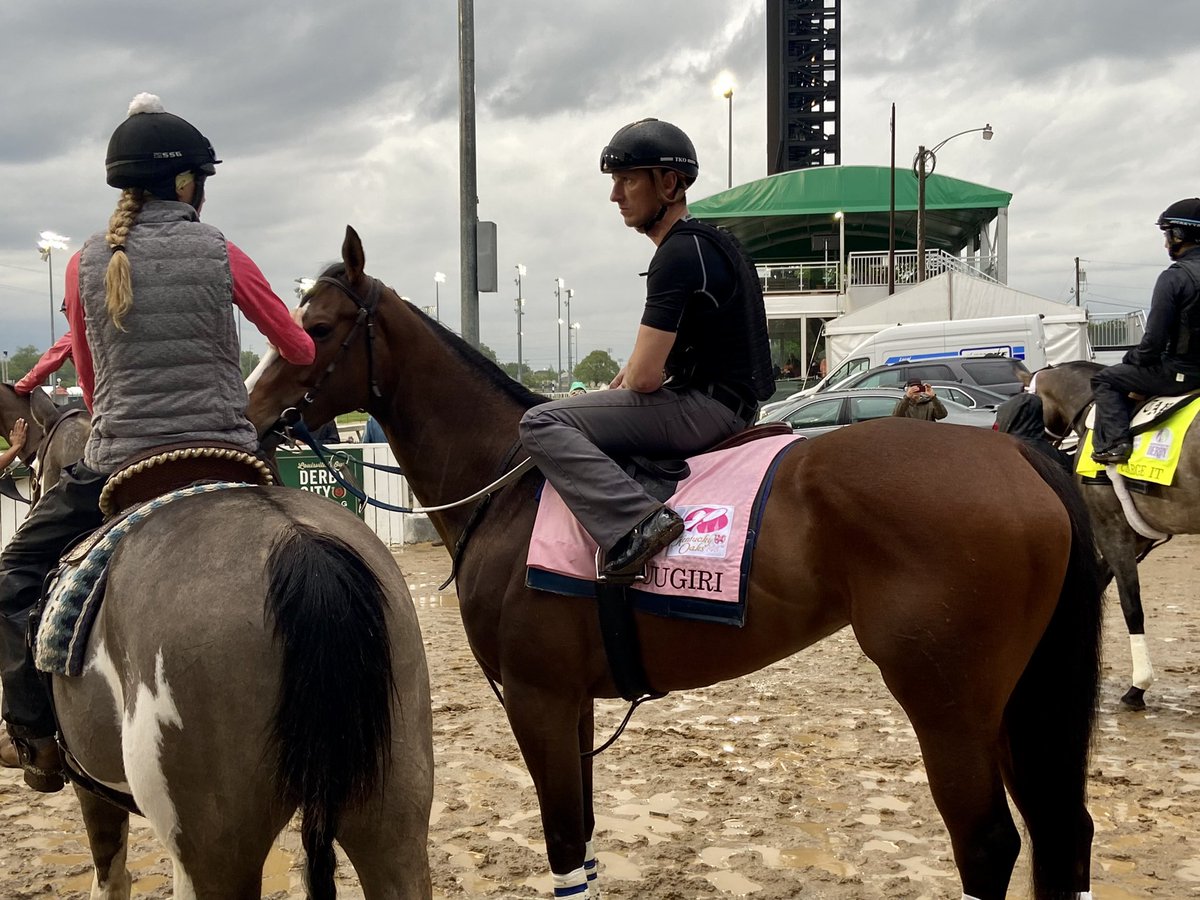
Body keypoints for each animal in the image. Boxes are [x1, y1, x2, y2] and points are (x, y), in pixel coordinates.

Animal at [5, 398, 433, 897]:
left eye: (36, 469)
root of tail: (299, 544)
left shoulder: (90, 787)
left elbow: (111, 878)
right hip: (392, 821)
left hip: (213, 851)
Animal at [246, 226, 1104, 900]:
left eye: (315, 325)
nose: (252, 414)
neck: (511, 477)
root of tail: (1015, 456)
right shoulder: (571, 702)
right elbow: (585, 842)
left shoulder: (537, 697)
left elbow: (565, 847)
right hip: (1014, 701)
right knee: (1065, 831)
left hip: (948, 704)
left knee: (990, 846)